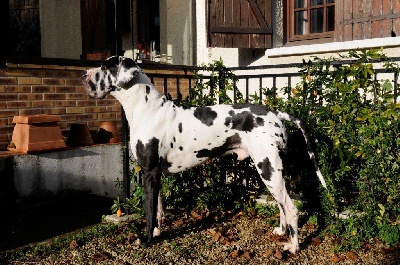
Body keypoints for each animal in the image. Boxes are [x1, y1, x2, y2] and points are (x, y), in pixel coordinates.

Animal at [81, 56, 324, 254]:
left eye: (105, 66)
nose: (84, 74)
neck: (147, 109)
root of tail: (275, 113)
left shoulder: (149, 172)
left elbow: (149, 212)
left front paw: (147, 239)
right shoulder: (156, 174)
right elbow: (157, 208)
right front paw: (158, 232)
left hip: (268, 169)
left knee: (291, 208)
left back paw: (293, 246)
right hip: (272, 173)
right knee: (282, 204)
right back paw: (282, 232)